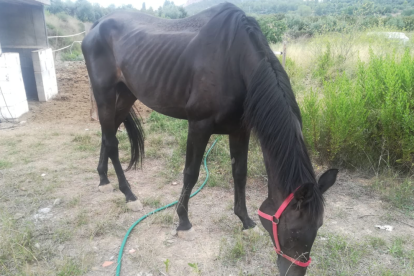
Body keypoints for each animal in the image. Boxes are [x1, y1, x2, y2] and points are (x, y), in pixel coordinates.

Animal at [81, 3, 340, 274]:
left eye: (318, 227)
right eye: (295, 231)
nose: (294, 271)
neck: (235, 60)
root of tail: (96, 26)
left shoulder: (240, 130)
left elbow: (240, 174)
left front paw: (245, 221)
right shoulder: (199, 125)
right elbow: (191, 173)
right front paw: (183, 223)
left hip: (126, 94)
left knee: (107, 135)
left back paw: (103, 179)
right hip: (104, 93)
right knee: (112, 141)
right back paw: (129, 195)